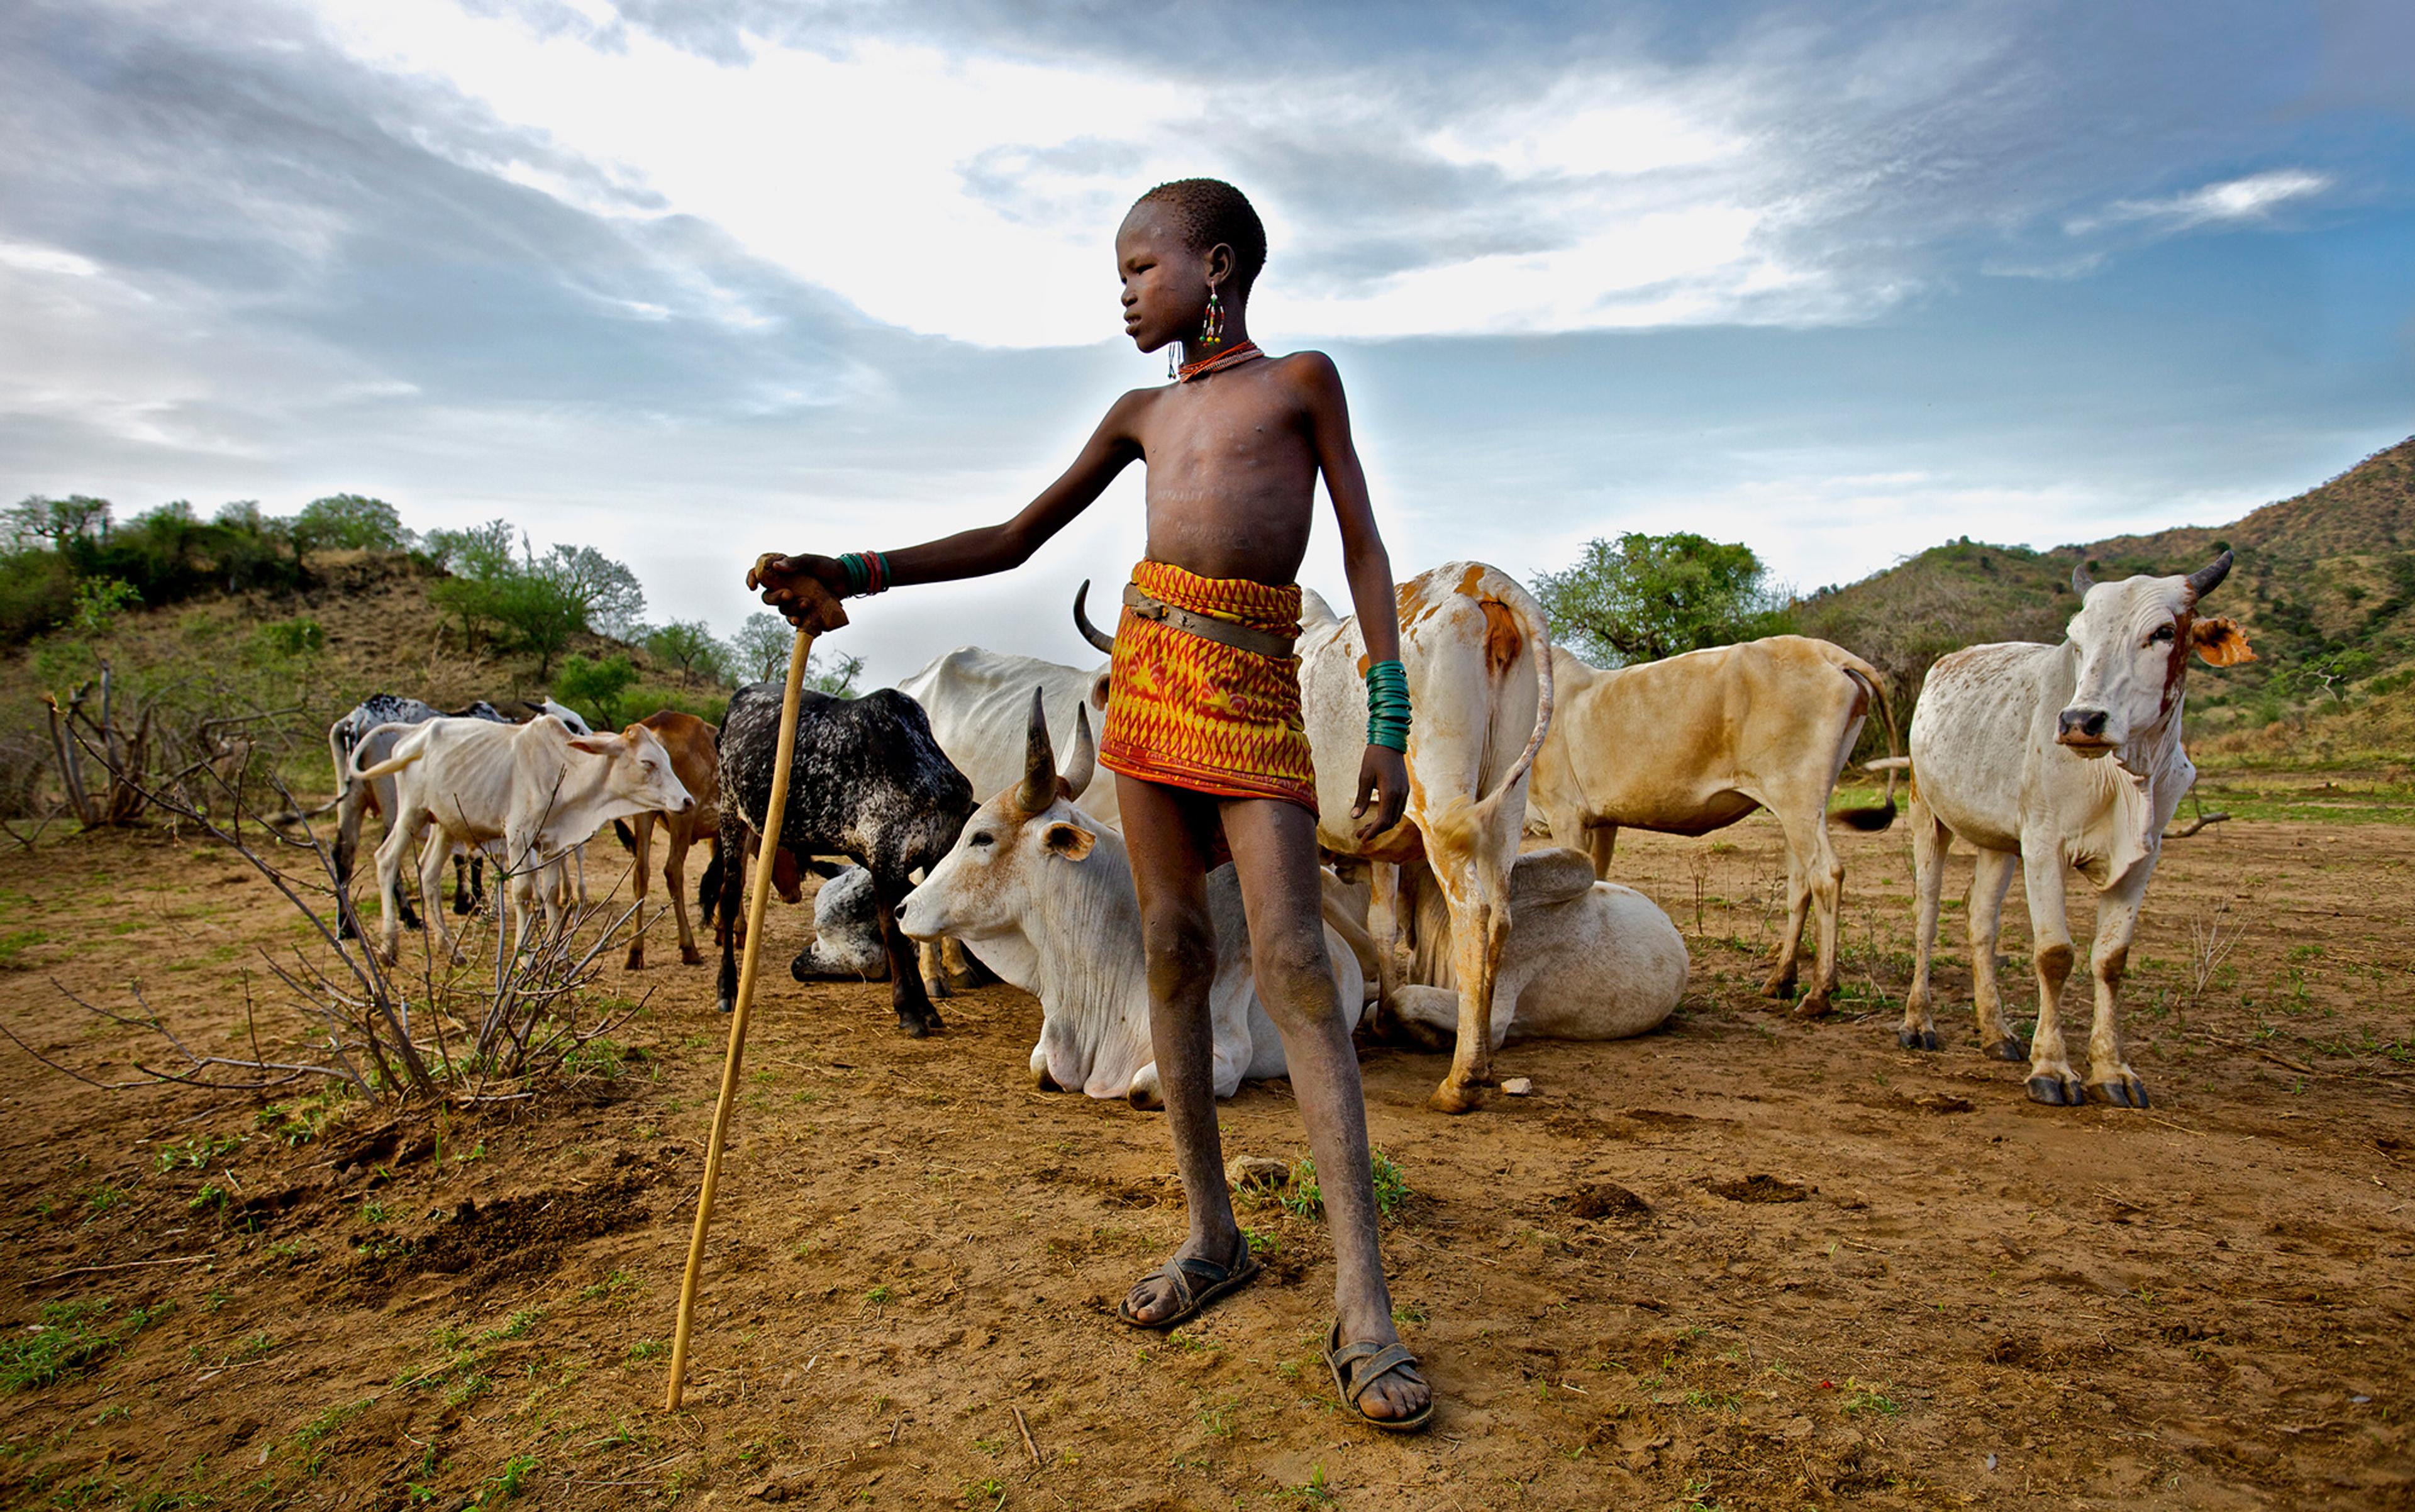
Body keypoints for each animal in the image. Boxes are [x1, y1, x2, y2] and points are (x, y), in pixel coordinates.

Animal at [350, 710, 695, 961]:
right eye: (647, 762)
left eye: (667, 760)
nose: (687, 801)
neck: (564, 771)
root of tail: (414, 733)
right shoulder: (519, 838)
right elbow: (524, 893)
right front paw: (525, 956)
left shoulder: (554, 844)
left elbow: (553, 893)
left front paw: (558, 956)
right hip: (411, 812)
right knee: (386, 860)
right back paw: (388, 947)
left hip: (445, 824)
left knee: (429, 875)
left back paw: (449, 947)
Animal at [709, 681, 975, 1033]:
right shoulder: (884, 849)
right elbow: (892, 929)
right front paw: (911, 1009)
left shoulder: (928, 853)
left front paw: (925, 1006)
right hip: (730, 813)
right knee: (729, 895)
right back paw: (727, 989)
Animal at [1526, 633, 1902, 1014]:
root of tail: (1829, 653)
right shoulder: (1604, 821)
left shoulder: (1566, 814)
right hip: (1801, 808)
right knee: (1801, 884)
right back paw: (1781, 980)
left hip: (1798, 798)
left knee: (1826, 874)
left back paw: (1819, 994)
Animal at [1902, 548, 2260, 1101]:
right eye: (2078, 636)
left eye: (2164, 632)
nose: (2080, 722)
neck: (2127, 773)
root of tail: (1943, 663)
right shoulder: (2044, 846)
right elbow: (2054, 955)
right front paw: (2051, 1069)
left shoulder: (2144, 857)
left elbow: (2111, 960)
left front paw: (2112, 1071)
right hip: (1929, 814)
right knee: (1928, 913)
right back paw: (1919, 1024)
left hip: (1999, 842)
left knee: (1981, 921)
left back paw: (1996, 1033)